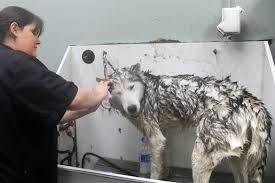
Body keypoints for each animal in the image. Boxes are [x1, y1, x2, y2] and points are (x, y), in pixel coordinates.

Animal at [107, 63, 272, 183]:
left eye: (131, 87)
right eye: (118, 93)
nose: (132, 108)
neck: (146, 90)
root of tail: (251, 101)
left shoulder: (155, 138)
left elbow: (154, 171)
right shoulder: (163, 134)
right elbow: (165, 158)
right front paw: (165, 174)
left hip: (199, 158)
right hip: (237, 160)